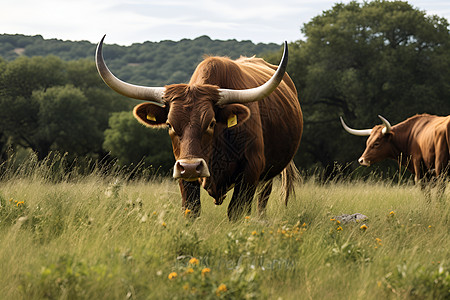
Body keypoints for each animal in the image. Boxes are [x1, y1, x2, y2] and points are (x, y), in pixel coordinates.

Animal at [96, 36, 304, 221]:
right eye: (169, 124)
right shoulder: (182, 174)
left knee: (263, 200)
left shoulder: (251, 170)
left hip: (268, 174)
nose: (190, 166)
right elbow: (191, 210)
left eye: (211, 123)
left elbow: (236, 212)